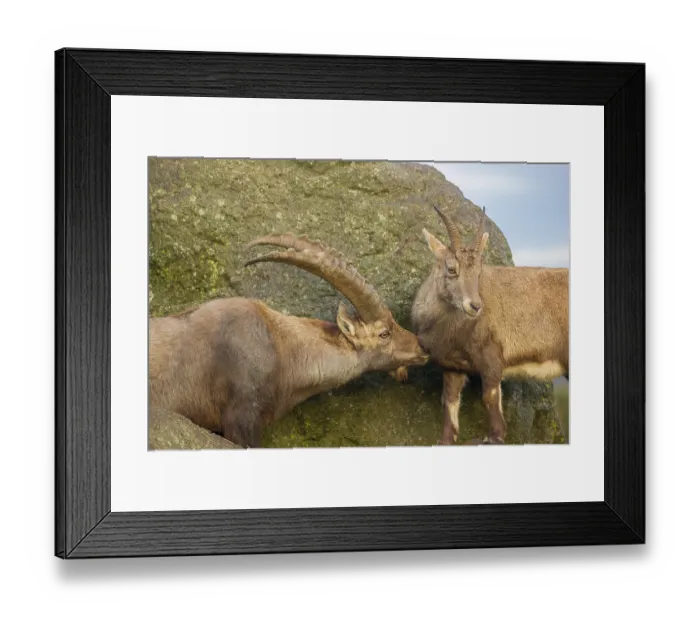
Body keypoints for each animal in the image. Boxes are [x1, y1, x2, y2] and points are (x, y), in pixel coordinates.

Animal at [410, 205, 569, 445]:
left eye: (478, 272)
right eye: (451, 269)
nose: (475, 306)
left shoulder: (491, 358)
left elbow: (489, 397)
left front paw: (495, 436)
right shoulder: (453, 365)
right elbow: (450, 401)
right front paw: (446, 438)